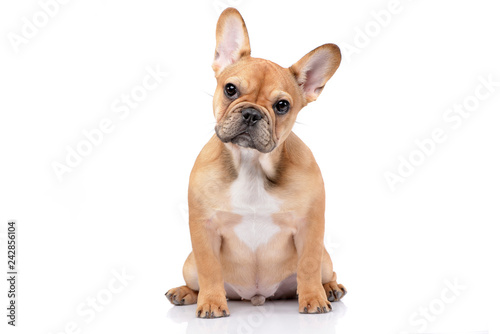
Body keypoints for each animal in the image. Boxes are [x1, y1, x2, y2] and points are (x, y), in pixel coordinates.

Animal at [166, 6, 346, 318]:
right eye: (230, 89)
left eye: (282, 105)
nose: (251, 113)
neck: (251, 163)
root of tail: (256, 296)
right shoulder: (204, 228)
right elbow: (209, 268)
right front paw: (211, 302)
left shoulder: (311, 226)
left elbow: (308, 265)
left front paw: (313, 298)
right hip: (189, 265)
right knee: (196, 277)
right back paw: (186, 293)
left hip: (326, 260)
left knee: (323, 271)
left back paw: (330, 289)